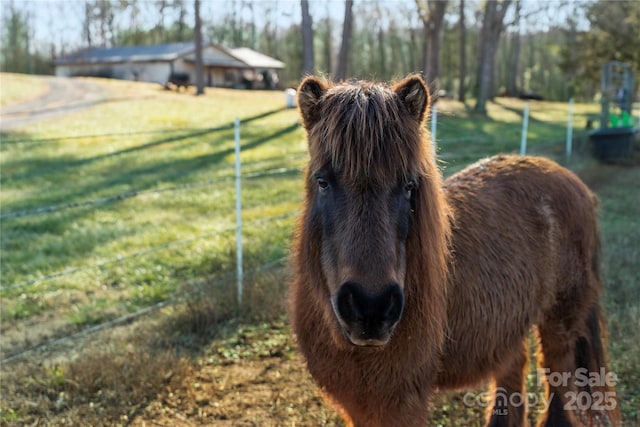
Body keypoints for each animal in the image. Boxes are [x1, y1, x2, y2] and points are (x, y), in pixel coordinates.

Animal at [292, 76, 620, 427]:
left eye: (409, 185)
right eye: (322, 181)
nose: (371, 307)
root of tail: (576, 184)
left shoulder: (399, 404)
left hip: (560, 325)